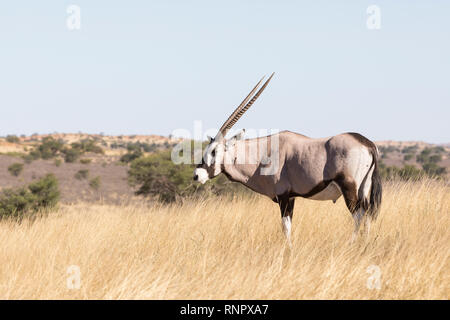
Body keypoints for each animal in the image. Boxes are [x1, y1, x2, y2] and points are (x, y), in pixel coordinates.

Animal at [192, 74, 382, 244]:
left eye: (214, 151)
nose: (196, 175)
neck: (263, 154)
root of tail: (367, 143)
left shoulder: (283, 196)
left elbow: (286, 227)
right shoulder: (291, 198)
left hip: (349, 189)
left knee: (358, 215)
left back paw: (352, 244)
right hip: (364, 189)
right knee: (367, 215)